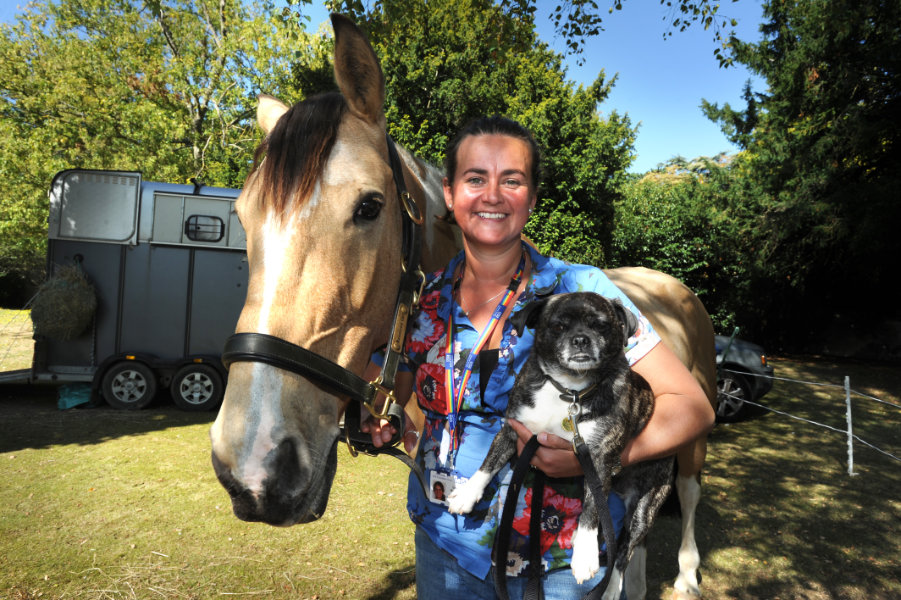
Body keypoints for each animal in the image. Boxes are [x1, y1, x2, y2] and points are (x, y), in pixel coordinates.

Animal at [446, 290, 672, 596]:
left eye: (601, 326)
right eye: (558, 326)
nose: (581, 339)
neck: (569, 390)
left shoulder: (598, 460)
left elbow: (592, 510)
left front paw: (585, 555)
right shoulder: (513, 430)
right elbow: (489, 462)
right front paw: (468, 493)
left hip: (644, 511)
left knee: (624, 551)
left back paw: (611, 586)